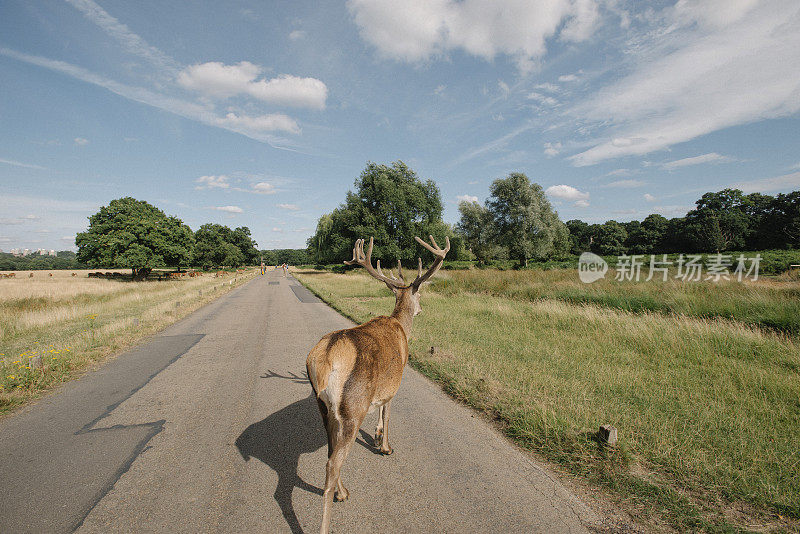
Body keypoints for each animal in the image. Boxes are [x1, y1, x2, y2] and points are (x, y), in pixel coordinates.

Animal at [304, 237, 446, 534]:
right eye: (419, 295)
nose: (422, 309)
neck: (402, 328)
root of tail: (323, 360)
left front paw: (378, 436)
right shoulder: (394, 383)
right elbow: (388, 414)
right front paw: (385, 446)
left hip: (323, 407)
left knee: (330, 452)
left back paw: (342, 491)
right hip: (353, 407)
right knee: (332, 463)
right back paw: (333, 508)